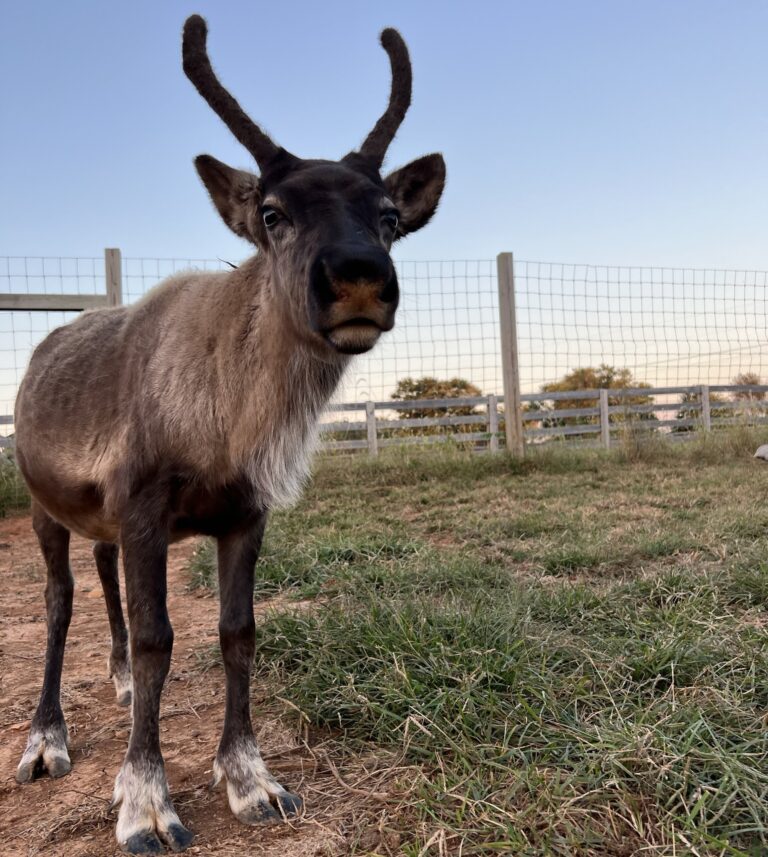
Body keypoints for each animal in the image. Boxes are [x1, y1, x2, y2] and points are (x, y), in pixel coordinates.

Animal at [12, 14, 445, 856]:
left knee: (102, 576)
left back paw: (116, 680)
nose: (358, 277)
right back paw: (46, 738)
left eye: (389, 217)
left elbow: (237, 631)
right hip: (44, 503)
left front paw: (250, 778)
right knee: (59, 599)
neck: (225, 422)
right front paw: (144, 799)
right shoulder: (145, 506)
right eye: (273, 213)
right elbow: (160, 638)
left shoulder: (245, 513)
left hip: (101, 518)